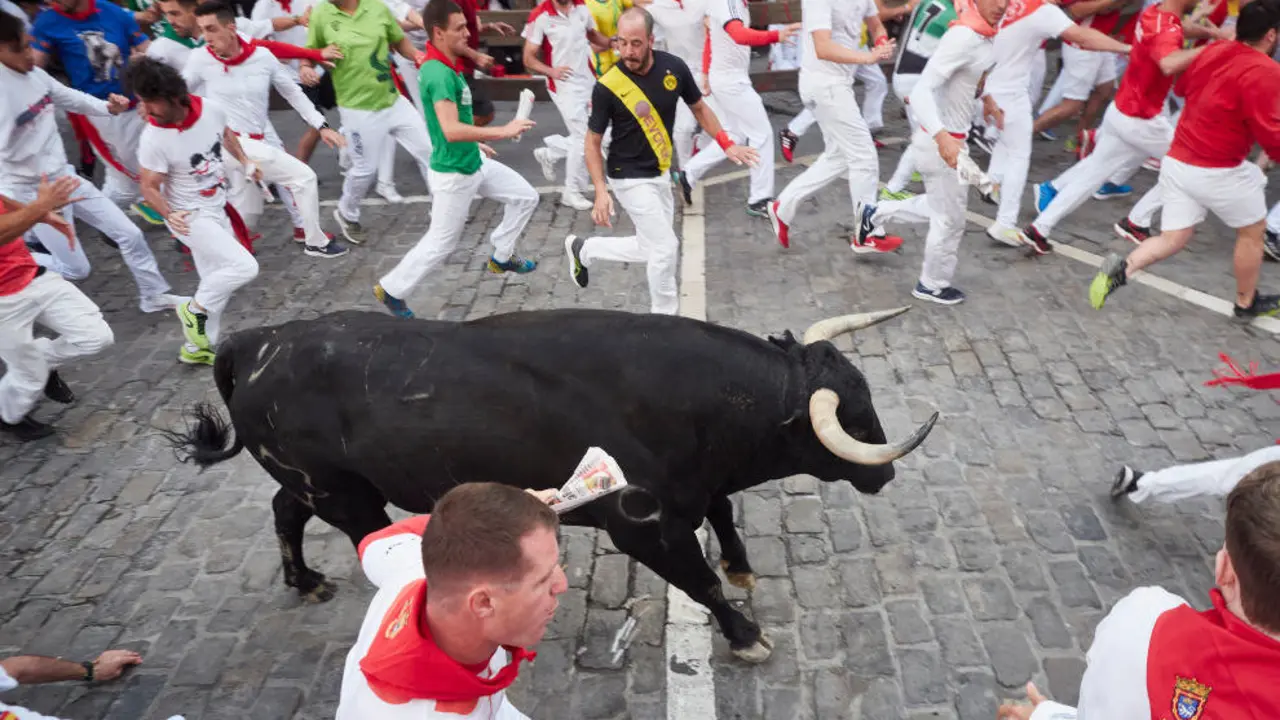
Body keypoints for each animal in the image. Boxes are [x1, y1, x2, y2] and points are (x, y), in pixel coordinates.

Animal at [167, 304, 942, 661]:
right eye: (852, 415)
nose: (886, 470)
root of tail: (258, 342)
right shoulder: (643, 527)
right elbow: (700, 582)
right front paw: (746, 633)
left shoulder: (692, 493)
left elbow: (723, 514)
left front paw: (742, 564)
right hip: (344, 494)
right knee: (355, 539)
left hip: (318, 483)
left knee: (283, 511)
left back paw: (304, 581)